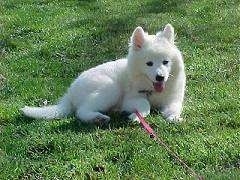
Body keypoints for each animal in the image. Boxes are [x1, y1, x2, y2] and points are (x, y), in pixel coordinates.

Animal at [21, 24, 186, 124]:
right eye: (149, 63)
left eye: (165, 62)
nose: (160, 77)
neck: (153, 90)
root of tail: (69, 93)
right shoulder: (130, 99)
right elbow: (145, 105)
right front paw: (137, 116)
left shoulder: (174, 99)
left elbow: (176, 107)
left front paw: (173, 117)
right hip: (111, 88)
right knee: (81, 111)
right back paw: (98, 118)